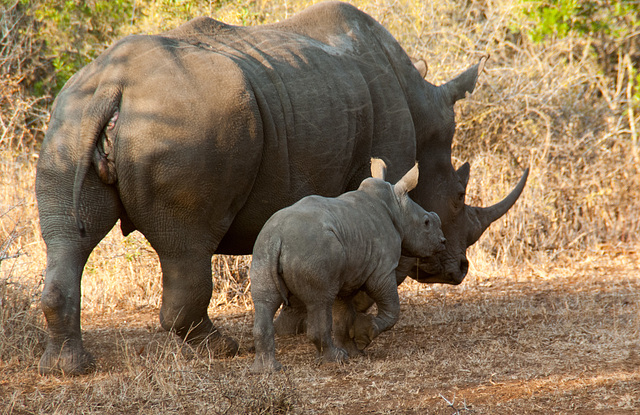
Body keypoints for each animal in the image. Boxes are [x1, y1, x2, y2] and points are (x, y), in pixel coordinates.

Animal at [250, 160, 444, 374]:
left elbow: (344, 316)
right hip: (314, 248)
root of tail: (279, 237)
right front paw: (365, 334)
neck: (395, 207)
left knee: (265, 301)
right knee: (320, 301)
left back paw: (268, 370)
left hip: (264, 247)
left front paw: (355, 353)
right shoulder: (382, 270)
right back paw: (334, 360)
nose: (443, 242)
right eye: (426, 222)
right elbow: (392, 309)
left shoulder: (349, 277)